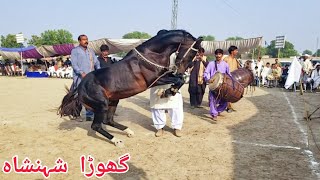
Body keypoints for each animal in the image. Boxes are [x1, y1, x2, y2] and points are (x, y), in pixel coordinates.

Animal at [58, 29, 202, 147]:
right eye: (192, 54)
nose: (181, 69)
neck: (152, 54)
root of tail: (80, 87)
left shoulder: (164, 75)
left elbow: (180, 79)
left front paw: (168, 91)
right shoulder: (153, 81)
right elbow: (178, 79)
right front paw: (167, 91)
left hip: (113, 101)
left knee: (108, 120)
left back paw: (128, 131)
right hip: (101, 104)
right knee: (96, 125)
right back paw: (117, 141)